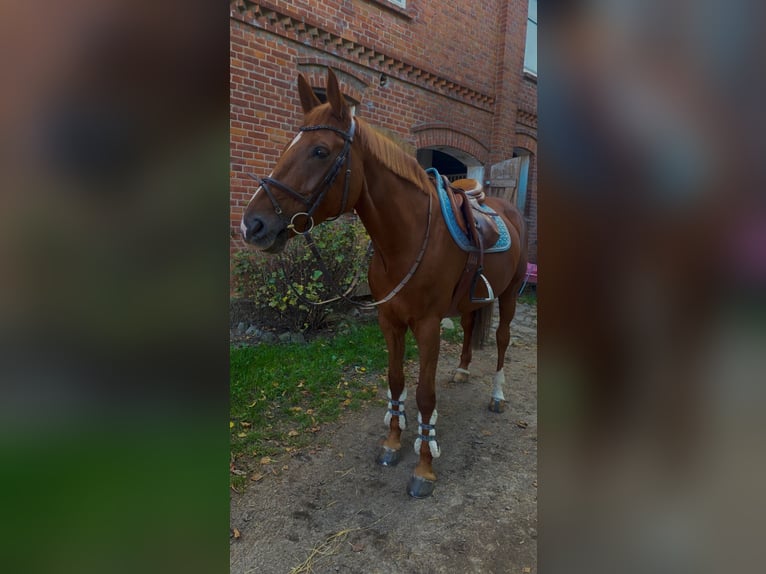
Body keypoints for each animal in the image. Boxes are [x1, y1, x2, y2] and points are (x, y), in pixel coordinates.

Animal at [242, 68, 528, 500]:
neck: (406, 240)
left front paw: (424, 467)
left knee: (502, 340)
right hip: (470, 301)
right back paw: (462, 370)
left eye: (320, 151)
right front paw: (393, 443)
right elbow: (395, 382)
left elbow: (425, 395)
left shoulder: (426, 326)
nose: (252, 225)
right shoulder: (389, 321)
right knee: (467, 328)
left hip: (509, 295)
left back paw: (497, 395)